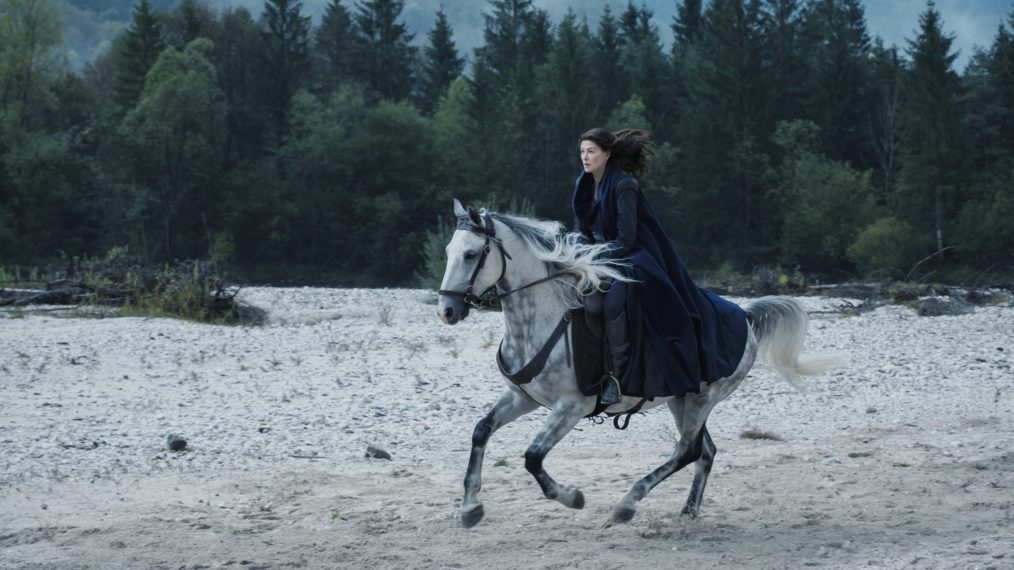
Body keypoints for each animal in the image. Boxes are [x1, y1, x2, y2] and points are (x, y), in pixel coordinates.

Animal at [436, 199, 839, 527]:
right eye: (448, 251)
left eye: (471, 254)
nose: (447, 311)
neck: (542, 318)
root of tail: (745, 316)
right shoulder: (523, 397)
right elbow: (481, 431)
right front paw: (470, 507)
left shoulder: (571, 406)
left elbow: (533, 457)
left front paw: (572, 497)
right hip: (682, 399)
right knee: (704, 451)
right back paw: (687, 511)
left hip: (702, 399)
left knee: (688, 450)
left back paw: (627, 503)